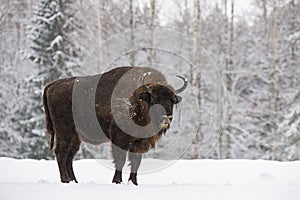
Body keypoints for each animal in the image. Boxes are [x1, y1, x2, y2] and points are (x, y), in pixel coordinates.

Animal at [42, 66, 188, 185]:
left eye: (172, 100)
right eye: (155, 99)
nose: (166, 118)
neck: (137, 101)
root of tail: (52, 85)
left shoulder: (139, 143)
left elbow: (136, 162)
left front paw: (133, 183)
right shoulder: (120, 139)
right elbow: (121, 160)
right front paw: (117, 181)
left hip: (75, 137)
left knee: (69, 157)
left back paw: (74, 181)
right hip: (65, 131)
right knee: (61, 153)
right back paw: (66, 180)